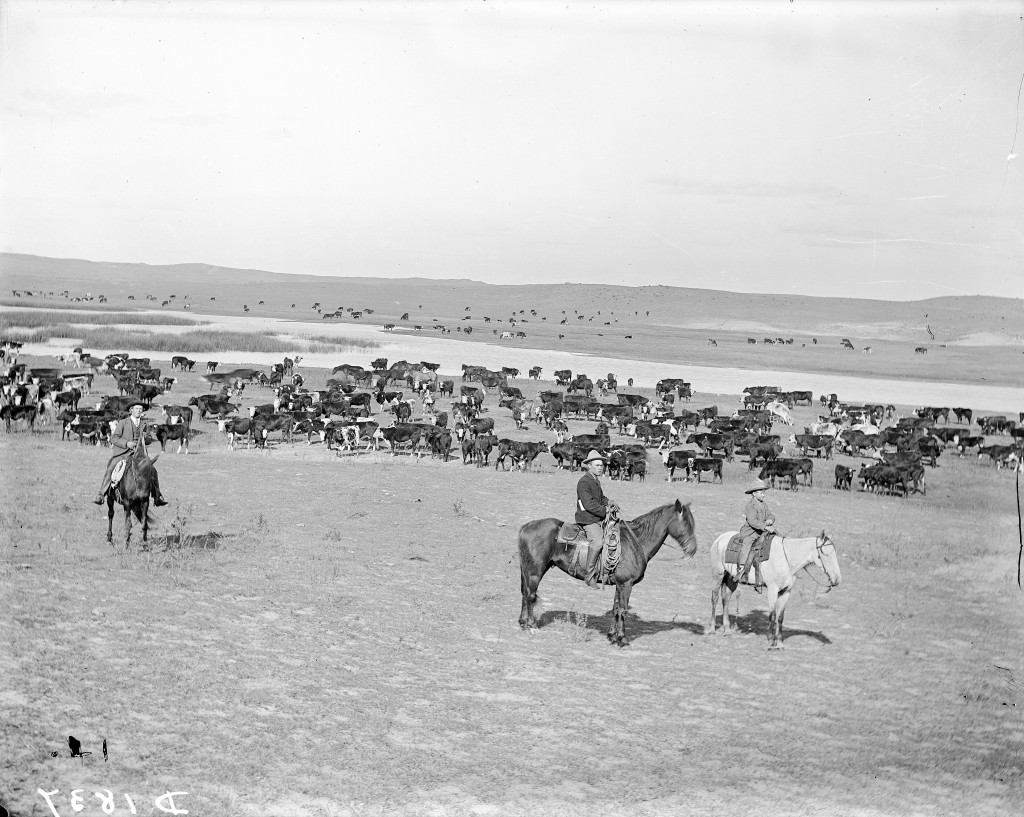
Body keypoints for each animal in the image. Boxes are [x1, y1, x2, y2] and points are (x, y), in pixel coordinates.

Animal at [520, 501, 696, 651]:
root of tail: (526, 526)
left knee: (524, 593)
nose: (693, 549)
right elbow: (623, 610)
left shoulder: (620, 584)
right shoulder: (626, 584)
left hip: (528, 571)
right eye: (686, 523)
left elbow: (615, 609)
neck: (636, 541)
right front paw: (622, 639)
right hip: (535, 571)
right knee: (531, 596)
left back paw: (522, 622)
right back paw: (531, 625)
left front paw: (612, 636)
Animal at [708, 532, 843, 651]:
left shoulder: (786, 591)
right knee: (715, 598)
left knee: (726, 599)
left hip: (731, 579)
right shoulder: (772, 590)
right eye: (825, 554)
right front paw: (770, 642)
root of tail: (720, 538)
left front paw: (779, 643)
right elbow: (772, 615)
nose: (837, 579)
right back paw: (712, 629)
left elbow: (780, 617)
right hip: (718, 574)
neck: (785, 559)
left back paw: (727, 631)